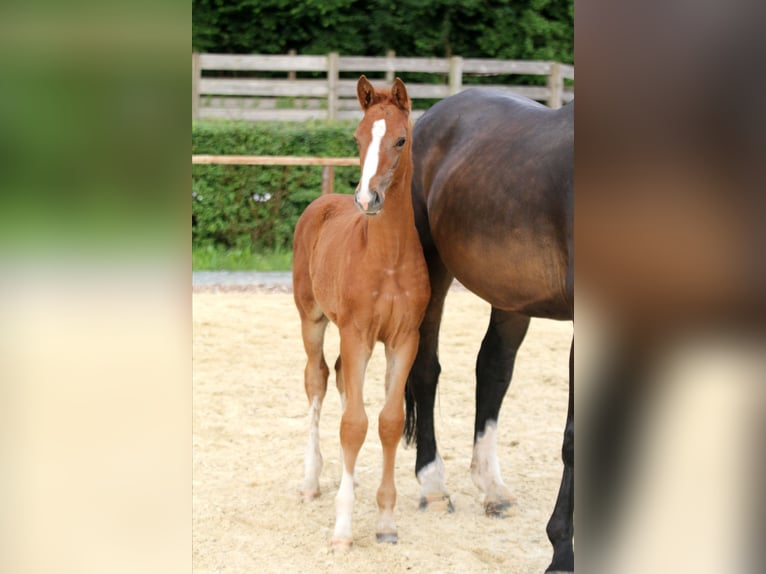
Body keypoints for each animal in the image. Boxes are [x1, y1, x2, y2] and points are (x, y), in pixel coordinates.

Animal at [292, 75, 428, 548]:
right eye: (357, 137)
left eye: (401, 139)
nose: (367, 199)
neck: (387, 260)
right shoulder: (357, 335)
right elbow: (353, 424)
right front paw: (343, 529)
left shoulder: (403, 340)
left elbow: (388, 421)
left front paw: (385, 521)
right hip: (312, 318)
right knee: (316, 378)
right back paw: (311, 480)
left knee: (338, 379)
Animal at [404, 88, 572, 572]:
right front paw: (562, 554)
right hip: (430, 270)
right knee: (425, 370)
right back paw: (433, 485)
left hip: (511, 297)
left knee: (493, 371)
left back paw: (491, 489)